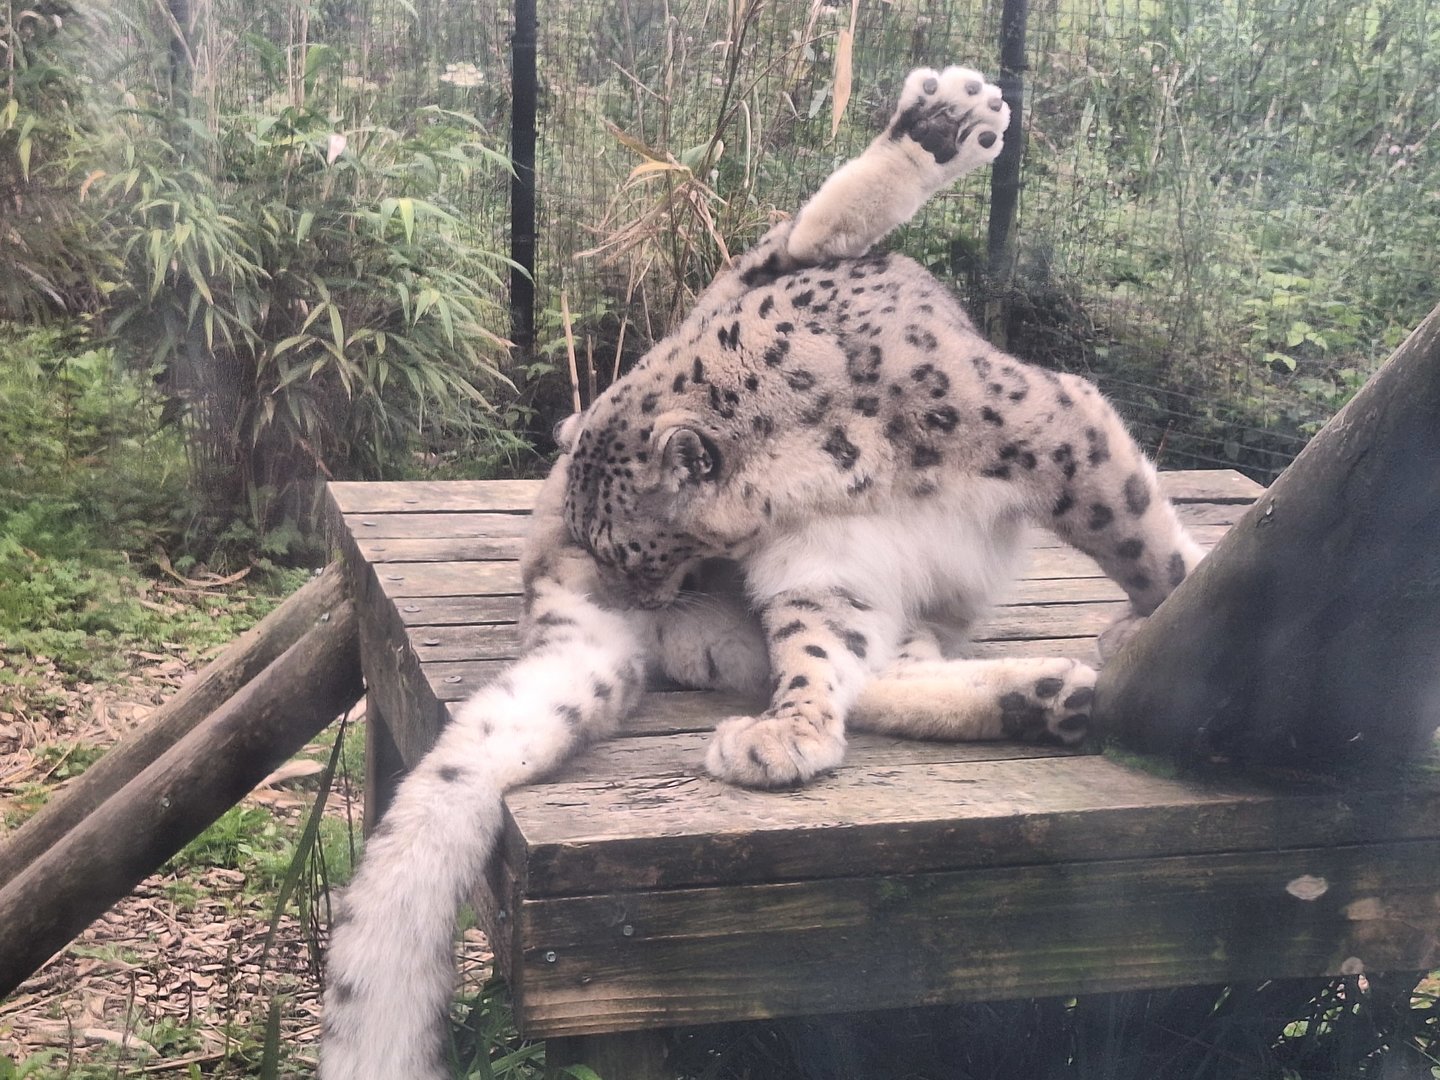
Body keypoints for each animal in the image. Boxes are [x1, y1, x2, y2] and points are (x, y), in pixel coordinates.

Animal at [319, 65, 1196, 1080]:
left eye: (632, 546)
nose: (634, 587)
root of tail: (552, 586)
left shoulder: (1047, 427)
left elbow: (1132, 528)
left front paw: (1169, 602)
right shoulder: (850, 543)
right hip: (799, 579)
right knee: (845, 665)